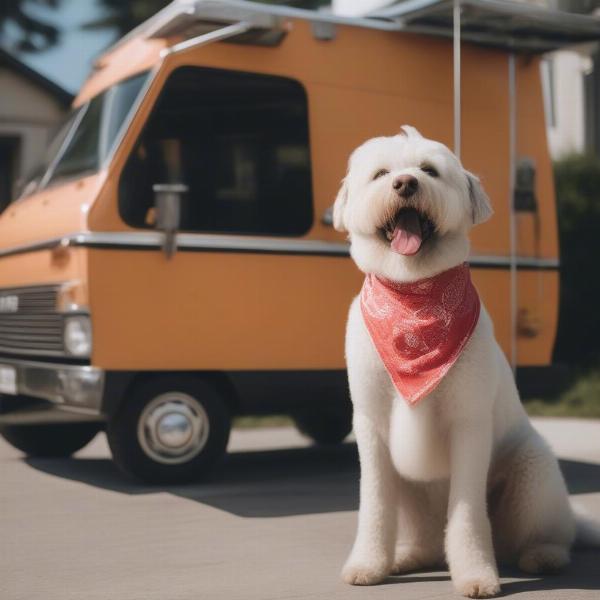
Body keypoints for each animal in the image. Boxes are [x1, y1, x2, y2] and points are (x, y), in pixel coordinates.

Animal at [336, 126, 596, 596]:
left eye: (428, 170)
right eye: (381, 174)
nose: (405, 183)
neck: (413, 300)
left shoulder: (469, 424)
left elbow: (468, 515)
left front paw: (476, 574)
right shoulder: (371, 426)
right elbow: (374, 506)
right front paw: (367, 564)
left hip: (533, 474)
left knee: (549, 533)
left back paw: (543, 555)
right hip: (415, 497)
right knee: (424, 540)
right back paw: (407, 557)